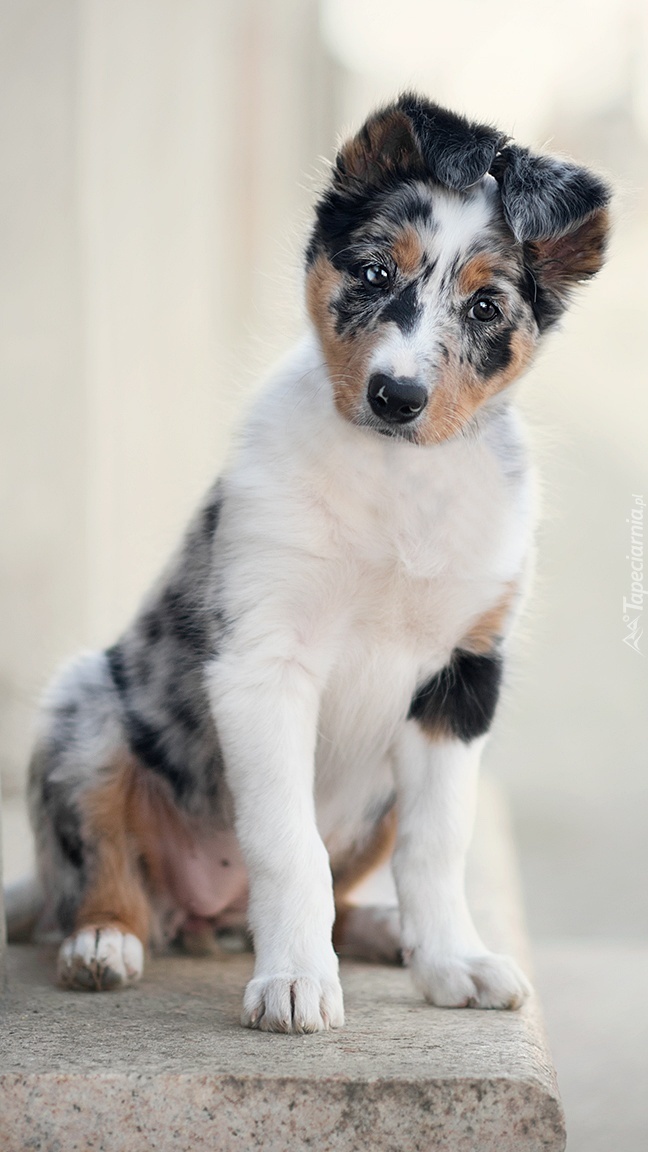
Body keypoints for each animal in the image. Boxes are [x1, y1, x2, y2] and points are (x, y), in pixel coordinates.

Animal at [22, 96, 608, 1036]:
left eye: (486, 308)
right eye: (372, 272)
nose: (396, 398)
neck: (397, 480)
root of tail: (209, 916)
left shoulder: (462, 681)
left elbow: (438, 844)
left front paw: (450, 962)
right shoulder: (264, 664)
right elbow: (284, 843)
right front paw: (295, 981)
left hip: (378, 793)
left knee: (354, 881)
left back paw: (385, 932)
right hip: (85, 711)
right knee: (99, 869)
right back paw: (103, 943)